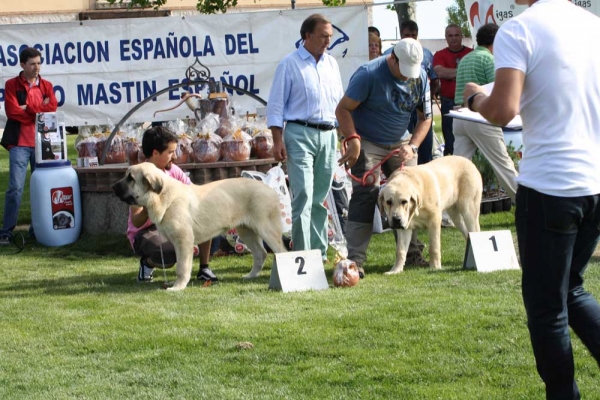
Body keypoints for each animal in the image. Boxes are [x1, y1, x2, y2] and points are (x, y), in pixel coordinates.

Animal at [115, 162, 290, 290]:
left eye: (130, 178)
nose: (113, 187)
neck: (163, 196)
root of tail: (270, 189)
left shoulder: (183, 240)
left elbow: (182, 267)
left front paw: (178, 287)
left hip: (266, 229)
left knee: (281, 252)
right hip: (246, 231)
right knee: (261, 253)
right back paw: (250, 276)